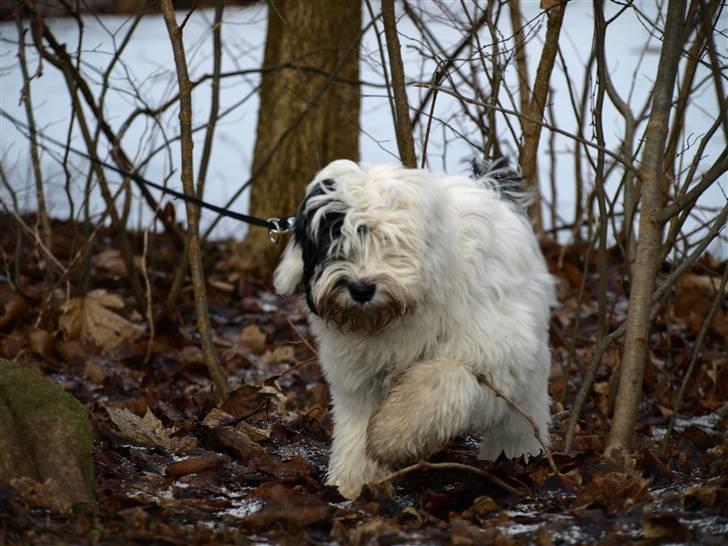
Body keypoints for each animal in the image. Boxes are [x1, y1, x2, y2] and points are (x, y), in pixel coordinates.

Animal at [276, 157, 556, 498]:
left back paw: (518, 452)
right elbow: (355, 422)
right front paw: (353, 482)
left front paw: (389, 436)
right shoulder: (358, 373)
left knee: (522, 407)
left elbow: (443, 376)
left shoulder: (497, 346)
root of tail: (488, 184)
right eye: (335, 238)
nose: (360, 289)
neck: (395, 316)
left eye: (389, 240)